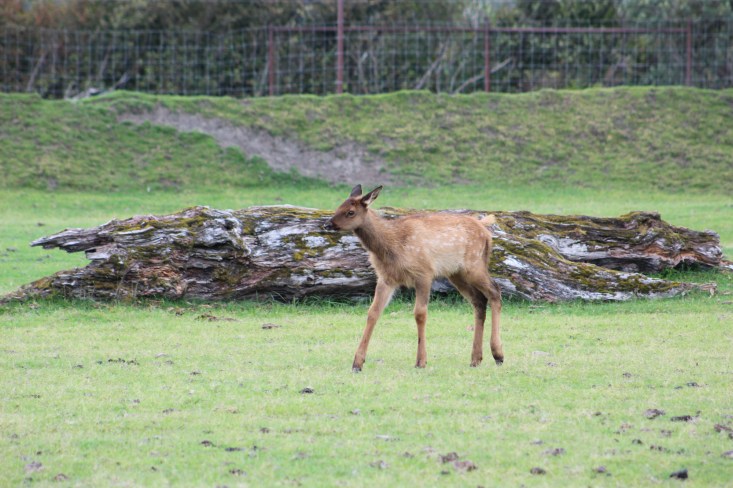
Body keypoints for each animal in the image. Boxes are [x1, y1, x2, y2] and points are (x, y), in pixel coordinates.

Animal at [324, 184, 503, 372]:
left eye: (350, 212)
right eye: (338, 206)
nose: (328, 224)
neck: (391, 247)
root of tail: (484, 227)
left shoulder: (424, 272)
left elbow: (420, 313)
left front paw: (421, 361)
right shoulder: (386, 278)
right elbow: (373, 312)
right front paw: (357, 363)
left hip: (474, 265)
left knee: (495, 291)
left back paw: (498, 354)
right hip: (456, 273)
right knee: (479, 300)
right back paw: (476, 359)